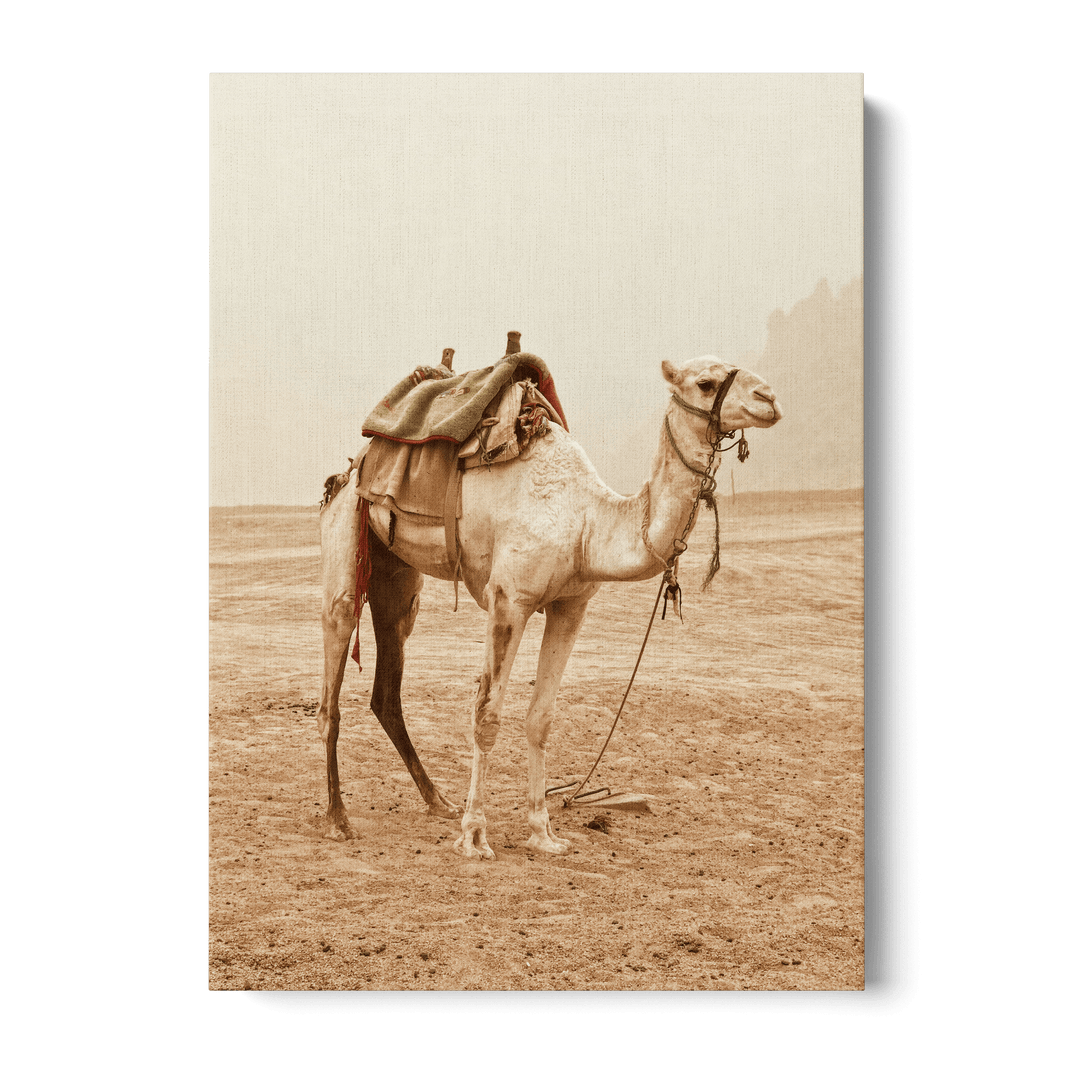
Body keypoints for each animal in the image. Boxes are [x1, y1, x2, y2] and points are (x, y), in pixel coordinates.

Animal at [316, 350, 781, 858]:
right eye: (705, 383)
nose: (769, 398)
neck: (587, 523)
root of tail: (352, 467)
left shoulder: (570, 607)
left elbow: (540, 717)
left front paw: (543, 831)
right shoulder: (509, 600)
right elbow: (486, 716)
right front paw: (475, 836)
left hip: (397, 576)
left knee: (387, 682)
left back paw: (437, 800)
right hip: (347, 533)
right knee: (332, 678)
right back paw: (339, 818)